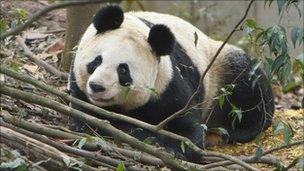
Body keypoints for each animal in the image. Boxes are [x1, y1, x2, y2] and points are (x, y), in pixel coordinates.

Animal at [67, 4, 274, 161]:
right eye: (96, 61)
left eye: (123, 70)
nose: (97, 87)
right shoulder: (78, 86)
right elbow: (82, 115)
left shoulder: (168, 85)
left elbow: (187, 132)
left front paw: (171, 148)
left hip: (220, 68)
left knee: (249, 86)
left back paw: (230, 132)